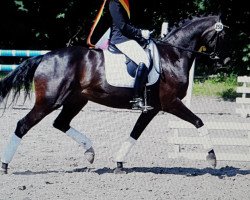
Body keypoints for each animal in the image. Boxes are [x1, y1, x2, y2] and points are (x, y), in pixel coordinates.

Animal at [0, 14, 227, 173]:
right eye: (222, 35)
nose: (224, 60)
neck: (173, 55)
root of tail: (45, 57)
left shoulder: (152, 108)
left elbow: (135, 133)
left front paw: (119, 163)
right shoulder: (171, 102)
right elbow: (198, 122)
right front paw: (212, 158)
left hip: (76, 100)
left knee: (61, 123)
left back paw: (90, 152)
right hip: (49, 101)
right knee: (23, 125)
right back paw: (5, 165)